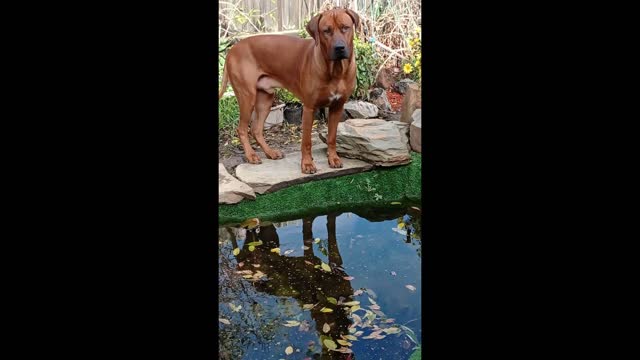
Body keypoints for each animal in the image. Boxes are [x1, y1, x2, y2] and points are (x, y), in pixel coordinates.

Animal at [219, 8, 360, 174]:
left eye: (345, 27)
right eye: (326, 31)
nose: (339, 48)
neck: (336, 71)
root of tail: (232, 50)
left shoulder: (337, 107)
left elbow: (332, 137)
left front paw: (333, 158)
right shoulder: (309, 108)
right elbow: (306, 141)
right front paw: (307, 164)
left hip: (265, 99)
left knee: (256, 129)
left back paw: (270, 152)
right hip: (247, 96)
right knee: (241, 129)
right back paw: (251, 155)